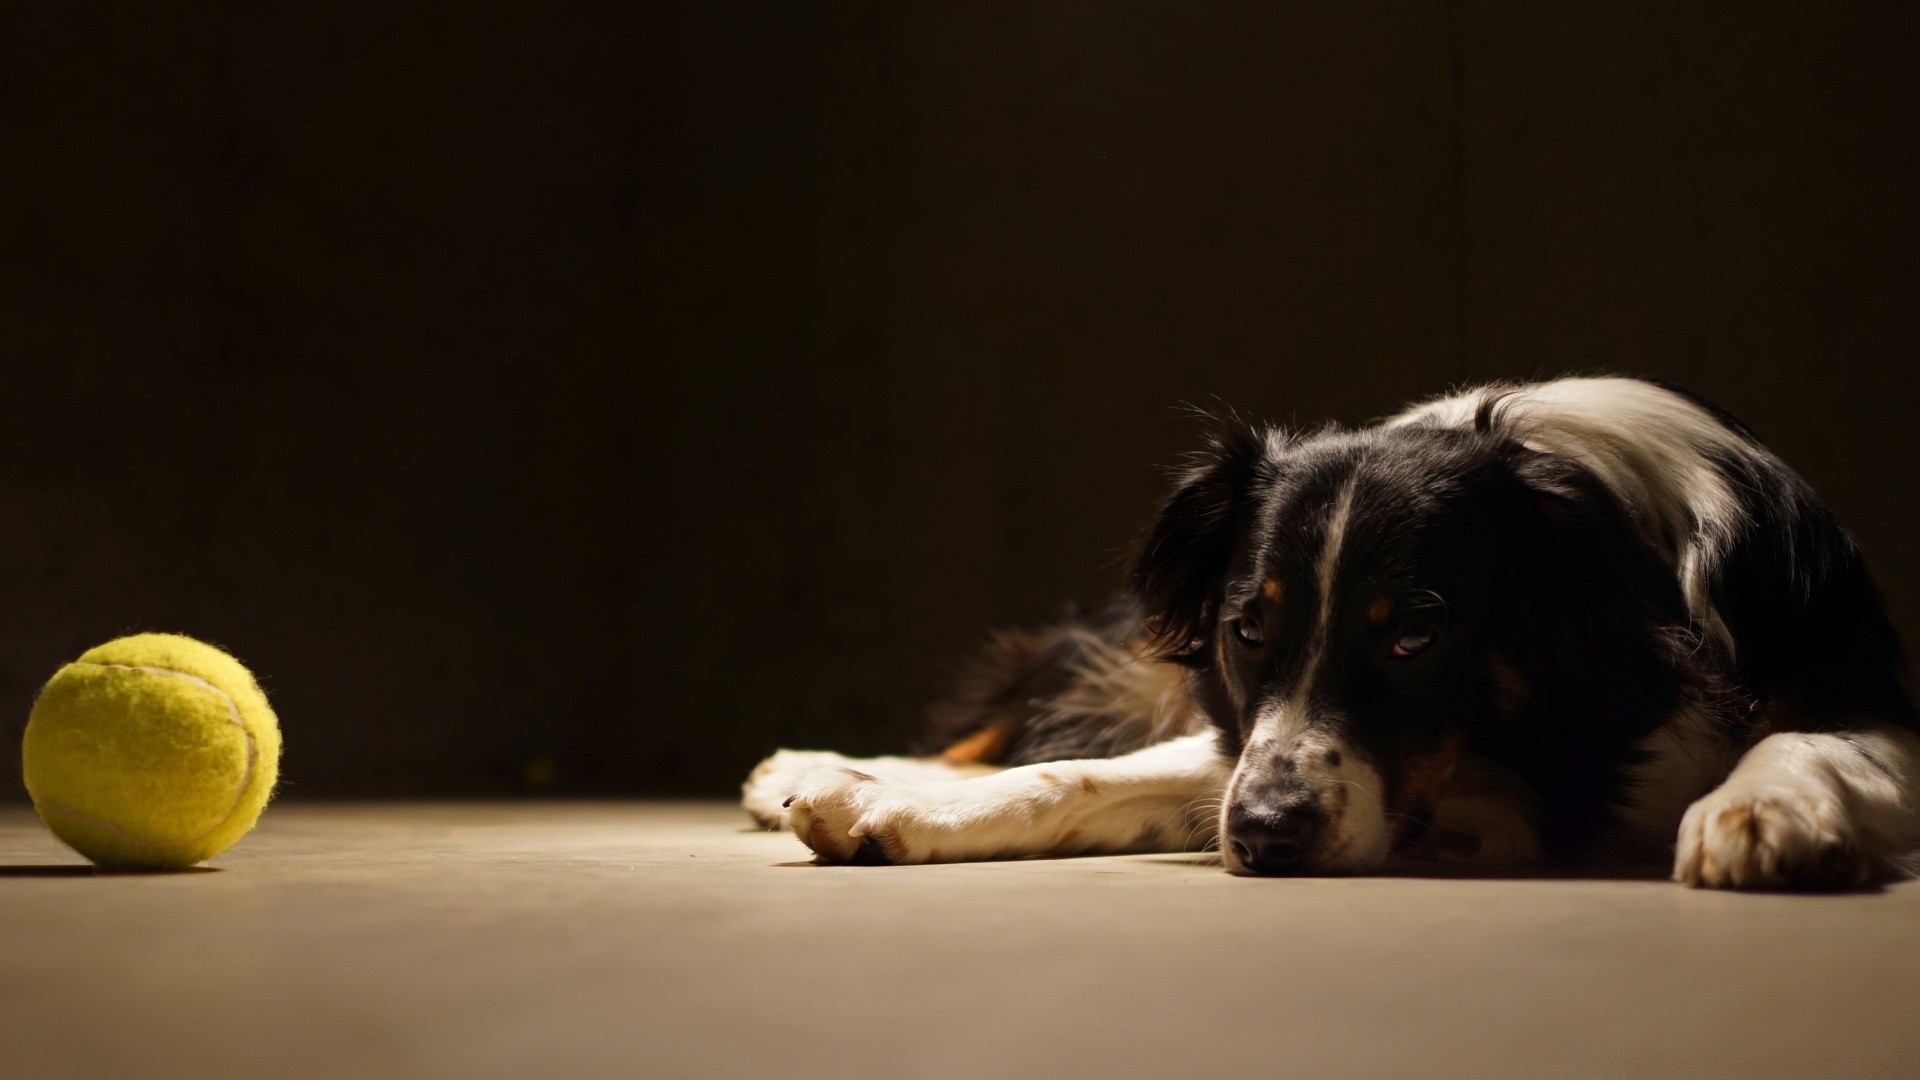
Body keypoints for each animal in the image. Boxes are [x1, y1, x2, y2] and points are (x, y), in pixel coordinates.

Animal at [737, 376, 1920, 883]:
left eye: (1415, 638)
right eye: (1246, 630)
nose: (1264, 838)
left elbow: (1807, 736)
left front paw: (1764, 811)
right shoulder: (1246, 730)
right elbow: (1081, 775)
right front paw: (890, 808)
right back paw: (814, 771)